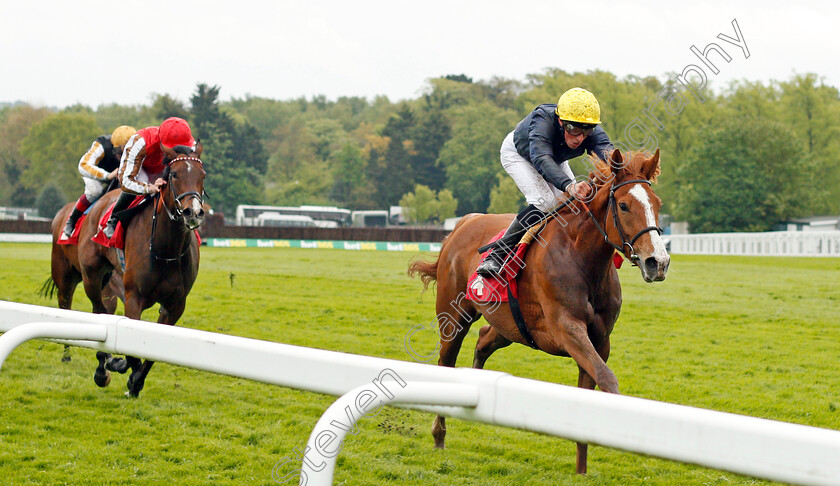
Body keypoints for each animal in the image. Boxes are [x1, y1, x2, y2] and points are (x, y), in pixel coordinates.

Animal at [48, 142, 208, 396]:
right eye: (174, 174)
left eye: (202, 175)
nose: (194, 212)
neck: (165, 250)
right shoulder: (134, 296)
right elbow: (131, 350)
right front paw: (121, 367)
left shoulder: (175, 304)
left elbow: (152, 352)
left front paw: (135, 381)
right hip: (81, 277)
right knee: (85, 308)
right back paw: (88, 361)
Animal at [406, 149, 668, 474]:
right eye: (623, 205)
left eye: (657, 204)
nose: (658, 262)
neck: (581, 256)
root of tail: (465, 222)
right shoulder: (566, 328)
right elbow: (606, 378)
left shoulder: (600, 339)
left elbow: (592, 383)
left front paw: (581, 471)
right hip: (453, 317)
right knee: (446, 361)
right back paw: (439, 435)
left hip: (511, 325)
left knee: (484, 339)